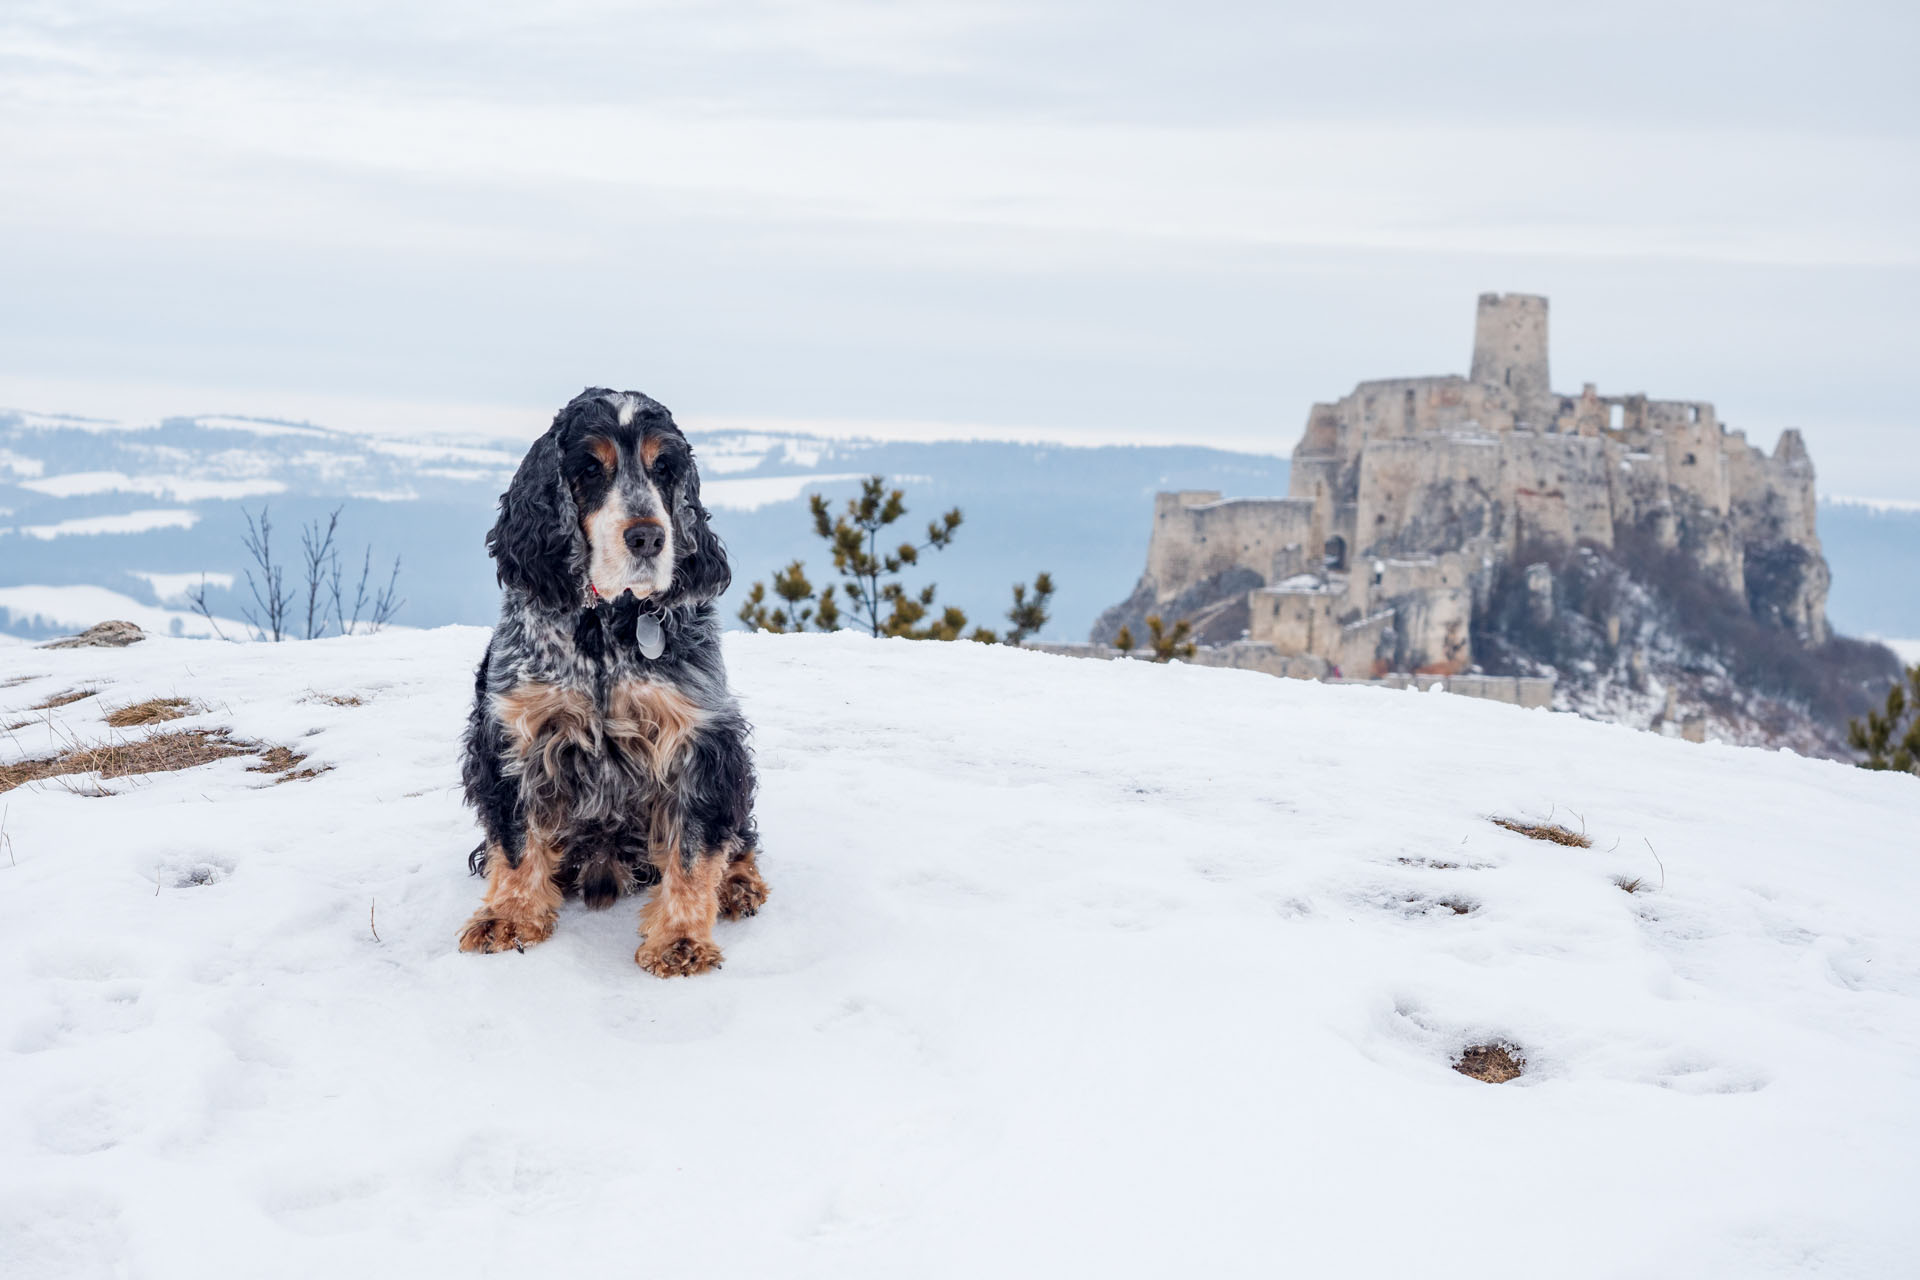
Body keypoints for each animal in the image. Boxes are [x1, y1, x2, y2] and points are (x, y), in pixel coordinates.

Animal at [456, 385, 764, 974]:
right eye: (589, 470)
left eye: (664, 467)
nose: (647, 537)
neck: (605, 623)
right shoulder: (512, 734)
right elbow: (515, 838)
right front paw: (508, 917)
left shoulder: (701, 737)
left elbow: (694, 850)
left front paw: (680, 940)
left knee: (739, 836)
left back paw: (739, 885)